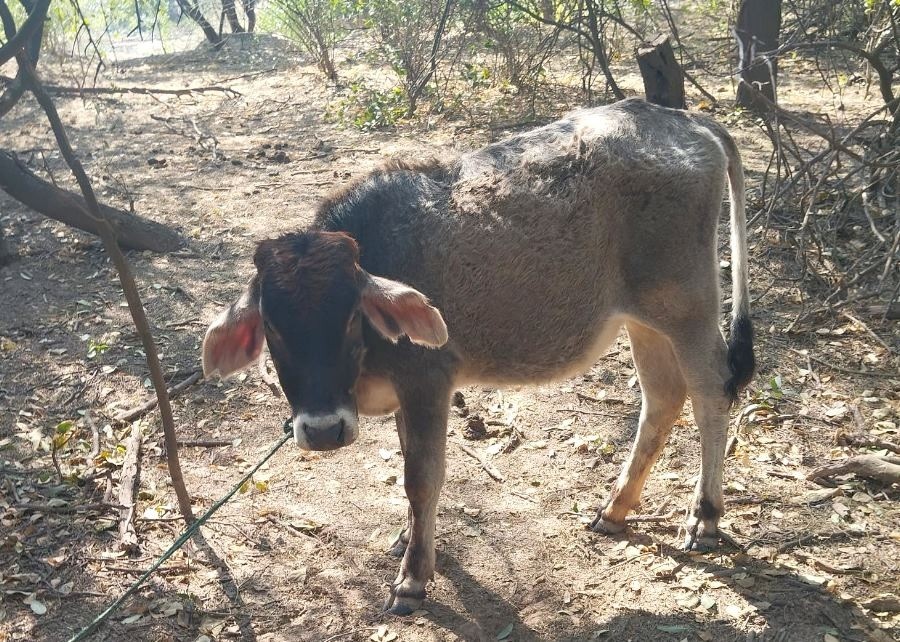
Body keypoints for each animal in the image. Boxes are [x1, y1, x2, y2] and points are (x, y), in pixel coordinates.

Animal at [202, 97, 752, 612]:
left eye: (350, 315)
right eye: (273, 326)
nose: (322, 431)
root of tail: (682, 118)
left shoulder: (428, 382)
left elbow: (421, 478)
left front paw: (413, 578)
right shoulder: (407, 396)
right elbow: (410, 468)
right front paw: (410, 538)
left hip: (687, 306)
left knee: (710, 391)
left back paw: (704, 517)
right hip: (643, 320)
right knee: (663, 397)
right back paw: (616, 509)